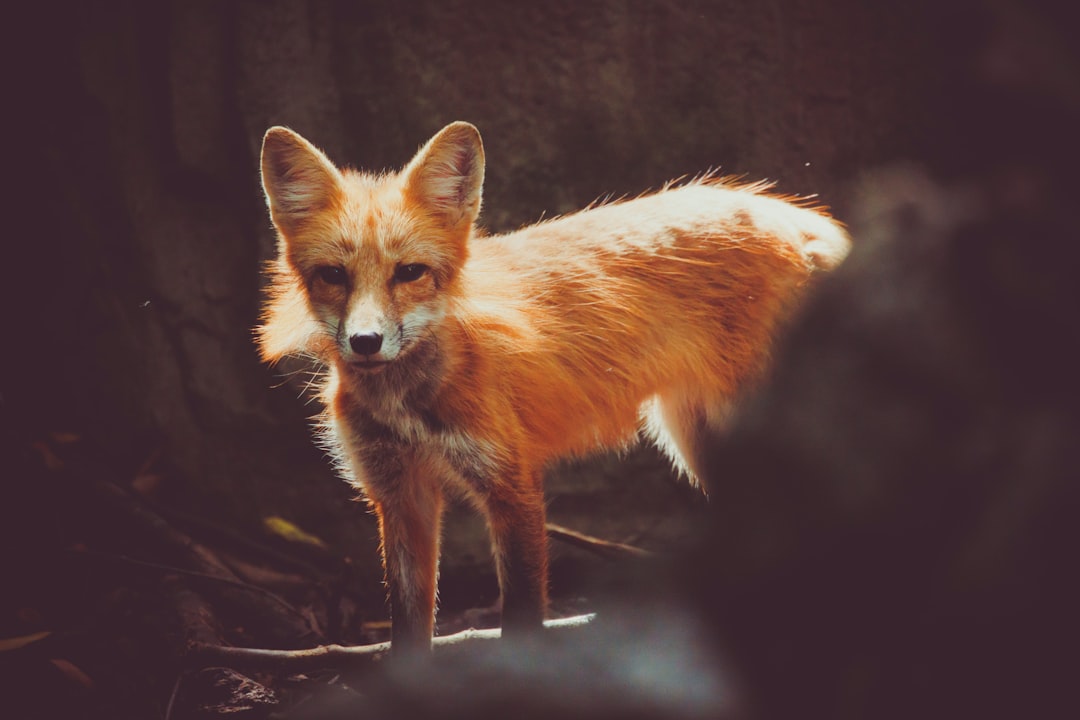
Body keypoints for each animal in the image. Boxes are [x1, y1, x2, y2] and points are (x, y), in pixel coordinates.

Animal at [257, 121, 851, 655]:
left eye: (409, 272)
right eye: (333, 275)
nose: (365, 342)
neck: (409, 403)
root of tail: (794, 215)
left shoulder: (512, 481)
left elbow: (522, 618)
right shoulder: (399, 493)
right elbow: (408, 629)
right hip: (699, 441)